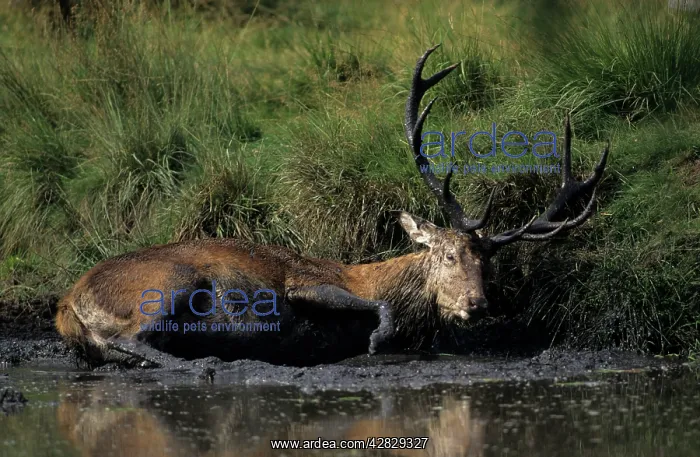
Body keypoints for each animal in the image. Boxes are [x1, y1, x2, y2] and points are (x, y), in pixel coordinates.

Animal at [55, 44, 609, 369]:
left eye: (488, 263)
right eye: (449, 254)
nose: (477, 304)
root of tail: (67, 306)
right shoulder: (305, 280)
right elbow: (376, 310)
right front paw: (377, 339)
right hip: (170, 284)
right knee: (132, 338)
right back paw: (199, 363)